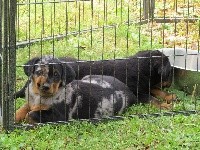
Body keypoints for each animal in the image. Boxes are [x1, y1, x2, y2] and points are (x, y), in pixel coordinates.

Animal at [15, 50, 175, 109]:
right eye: (169, 73)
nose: (170, 83)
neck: (140, 67)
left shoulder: (146, 86)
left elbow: (156, 90)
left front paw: (169, 96)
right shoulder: (137, 92)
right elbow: (151, 98)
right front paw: (164, 105)